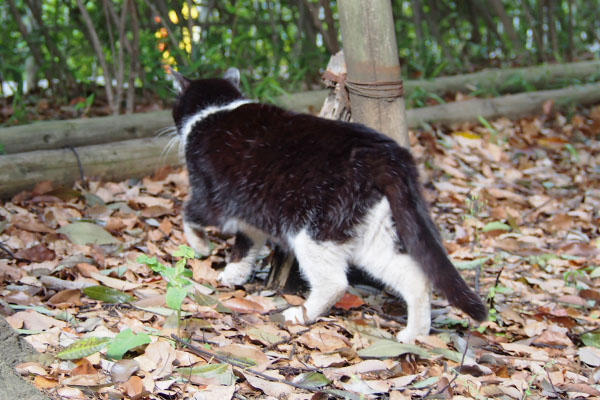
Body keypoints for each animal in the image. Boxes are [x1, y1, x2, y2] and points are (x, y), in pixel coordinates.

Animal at [169, 67, 488, 342]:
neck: (214, 110)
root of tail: (386, 156)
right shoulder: (249, 211)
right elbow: (247, 243)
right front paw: (233, 274)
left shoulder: (211, 196)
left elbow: (189, 214)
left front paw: (200, 247)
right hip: (369, 231)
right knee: (414, 277)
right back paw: (415, 334)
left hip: (314, 228)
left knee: (335, 282)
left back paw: (300, 314)